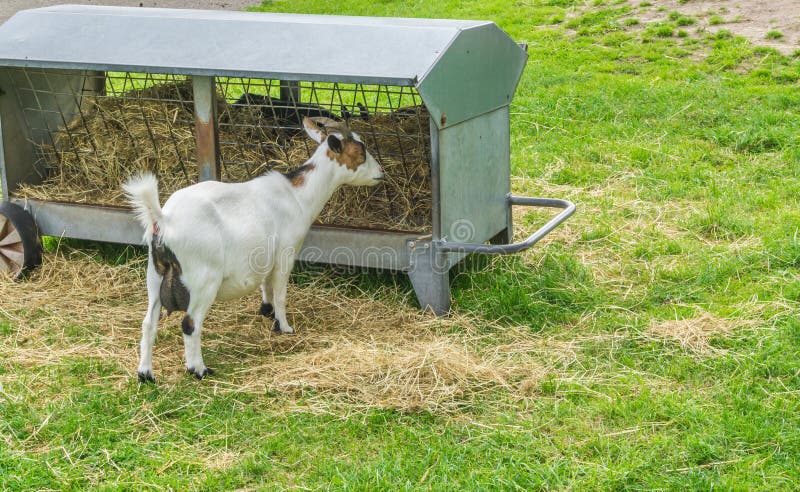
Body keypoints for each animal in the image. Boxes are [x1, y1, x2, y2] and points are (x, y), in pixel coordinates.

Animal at [124, 117, 384, 382]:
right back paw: (199, 369)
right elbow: (280, 292)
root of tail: (164, 220)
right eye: (361, 151)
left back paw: (145, 374)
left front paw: (267, 311)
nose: (380, 173)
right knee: (190, 324)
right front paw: (284, 326)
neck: (297, 195)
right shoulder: (285, 253)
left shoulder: (265, 254)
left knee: (148, 323)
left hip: (155, 275)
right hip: (202, 280)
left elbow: (265, 284)